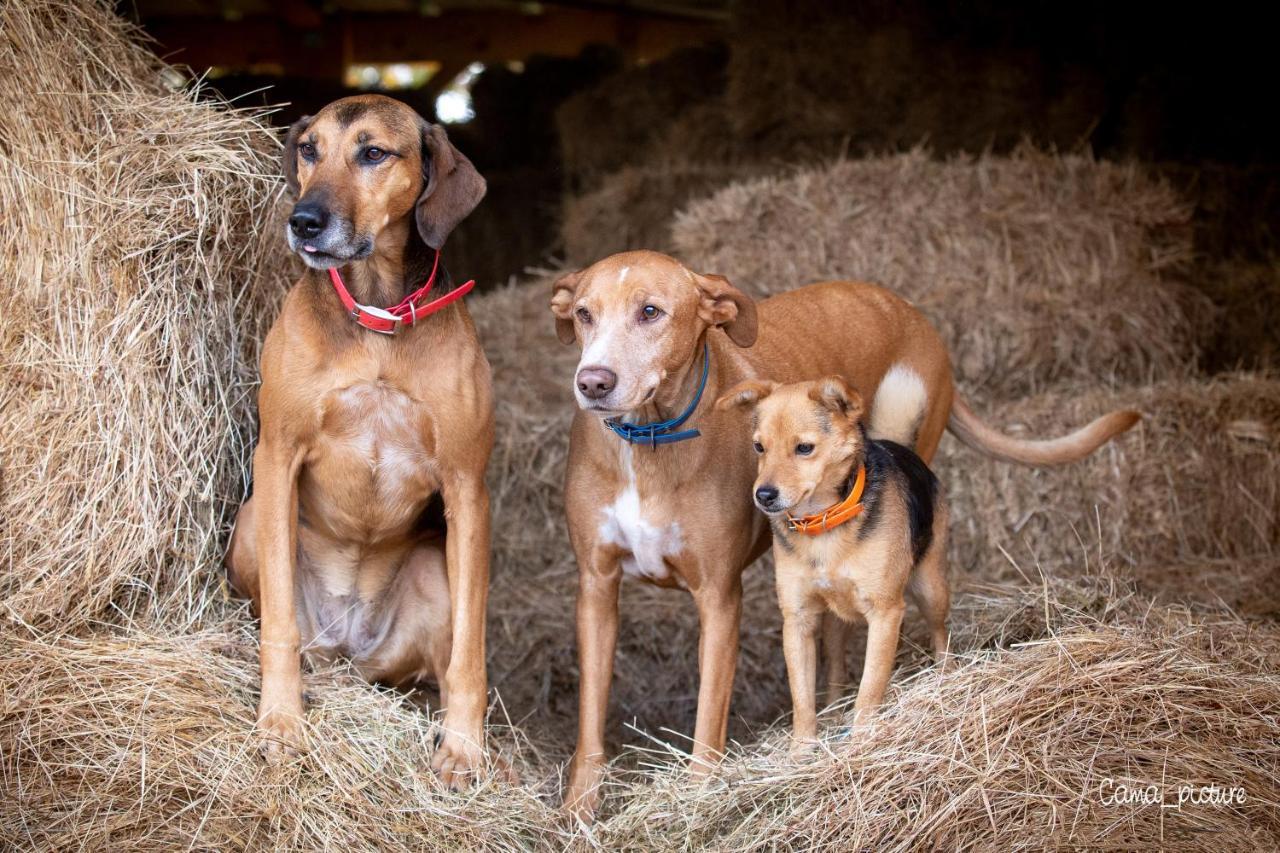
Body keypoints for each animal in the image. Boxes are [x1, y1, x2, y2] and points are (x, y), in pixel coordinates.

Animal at [721, 371, 952, 742]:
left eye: (804, 448)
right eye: (759, 447)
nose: (763, 495)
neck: (822, 524)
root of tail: (900, 448)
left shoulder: (885, 614)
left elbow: (869, 690)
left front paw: (861, 742)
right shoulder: (798, 620)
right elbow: (802, 700)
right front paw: (802, 748)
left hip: (931, 590)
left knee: (940, 633)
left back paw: (948, 676)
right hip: (835, 623)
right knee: (837, 670)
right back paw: (832, 712)